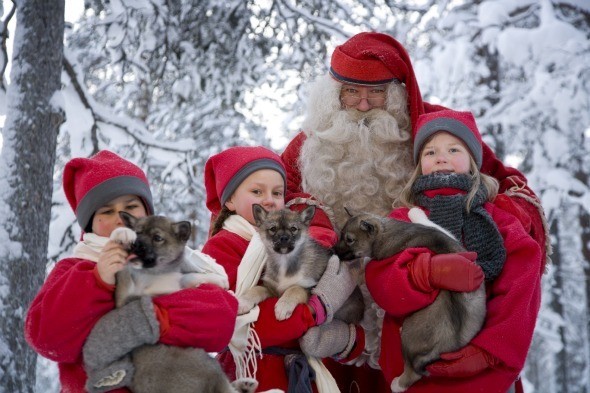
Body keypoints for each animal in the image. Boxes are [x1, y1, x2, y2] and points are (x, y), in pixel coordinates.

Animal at [113, 213, 256, 393]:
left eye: (157, 238)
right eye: (137, 233)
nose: (136, 244)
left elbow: (186, 277)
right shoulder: (129, 294)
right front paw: (121, 234)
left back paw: (245, 384)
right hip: (204, 362)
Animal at [336, 211, 488, 392]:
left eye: (349, 239)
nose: (333, 251)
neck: (385, 230)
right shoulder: (441, 232)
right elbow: (434, 225)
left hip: (410, 338)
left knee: (412, 372)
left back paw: (397, 384)